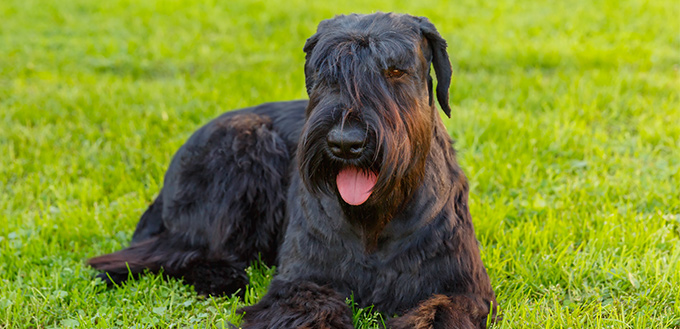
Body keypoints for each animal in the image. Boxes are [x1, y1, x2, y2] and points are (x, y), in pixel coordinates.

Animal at [87, 12, 496, 328]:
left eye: (394, 70)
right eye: (326, 71)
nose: (345, 143)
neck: (374, 223)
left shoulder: (462, 290)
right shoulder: (302, 283)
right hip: (243, 148)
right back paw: (220, 275)